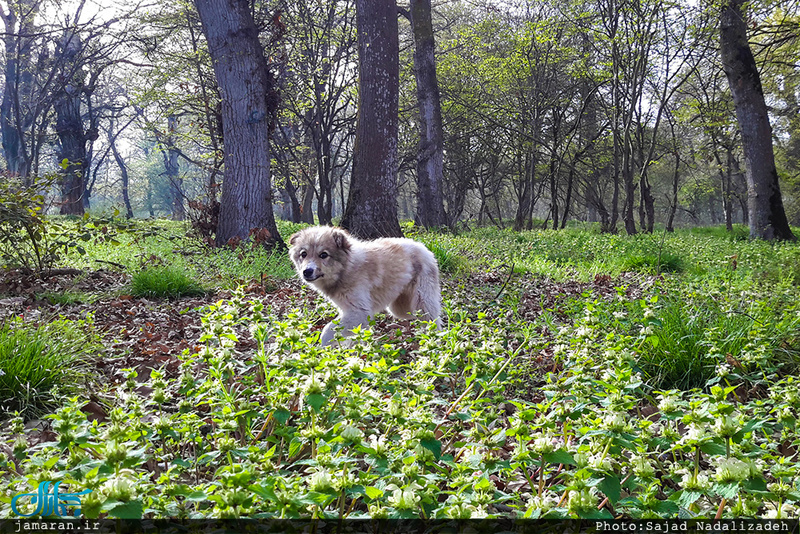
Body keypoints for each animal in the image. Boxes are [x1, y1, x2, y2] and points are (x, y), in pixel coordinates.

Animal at [288, 226, 440, 348]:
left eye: (323, 255)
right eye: (303, 254)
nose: (307, 271)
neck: (346, 269)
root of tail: (423, 247)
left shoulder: (359, 311)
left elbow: (327, 330)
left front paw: (323, 350)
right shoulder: (350, 311)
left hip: (422, 301)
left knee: (433, 321)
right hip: (399, 308)